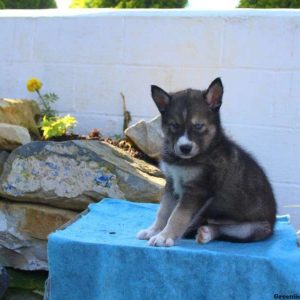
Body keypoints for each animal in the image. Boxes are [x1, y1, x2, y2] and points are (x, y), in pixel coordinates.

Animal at [136, 78, 276, 247]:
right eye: (174, 125)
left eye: (198, 126)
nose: (185, 148)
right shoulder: (171, 183)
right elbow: (163, 211)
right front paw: (153, 231)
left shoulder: (197, 189)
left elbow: (177, 216)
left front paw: (164, 236)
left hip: (252, 228)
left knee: (223, 231)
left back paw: (206, 233)